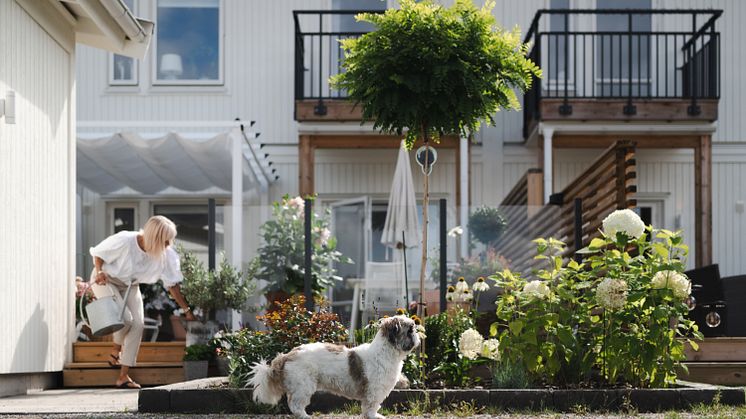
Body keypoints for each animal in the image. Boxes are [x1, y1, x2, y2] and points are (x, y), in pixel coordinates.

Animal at [247, 316, 416, 418]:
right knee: (295, 405)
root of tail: (288, 355)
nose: (416, 333)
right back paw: (304, 416)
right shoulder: (374, 391)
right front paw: (373, 416)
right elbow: (371, 406)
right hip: (303, 386)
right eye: (409, 330)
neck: (385, 352)